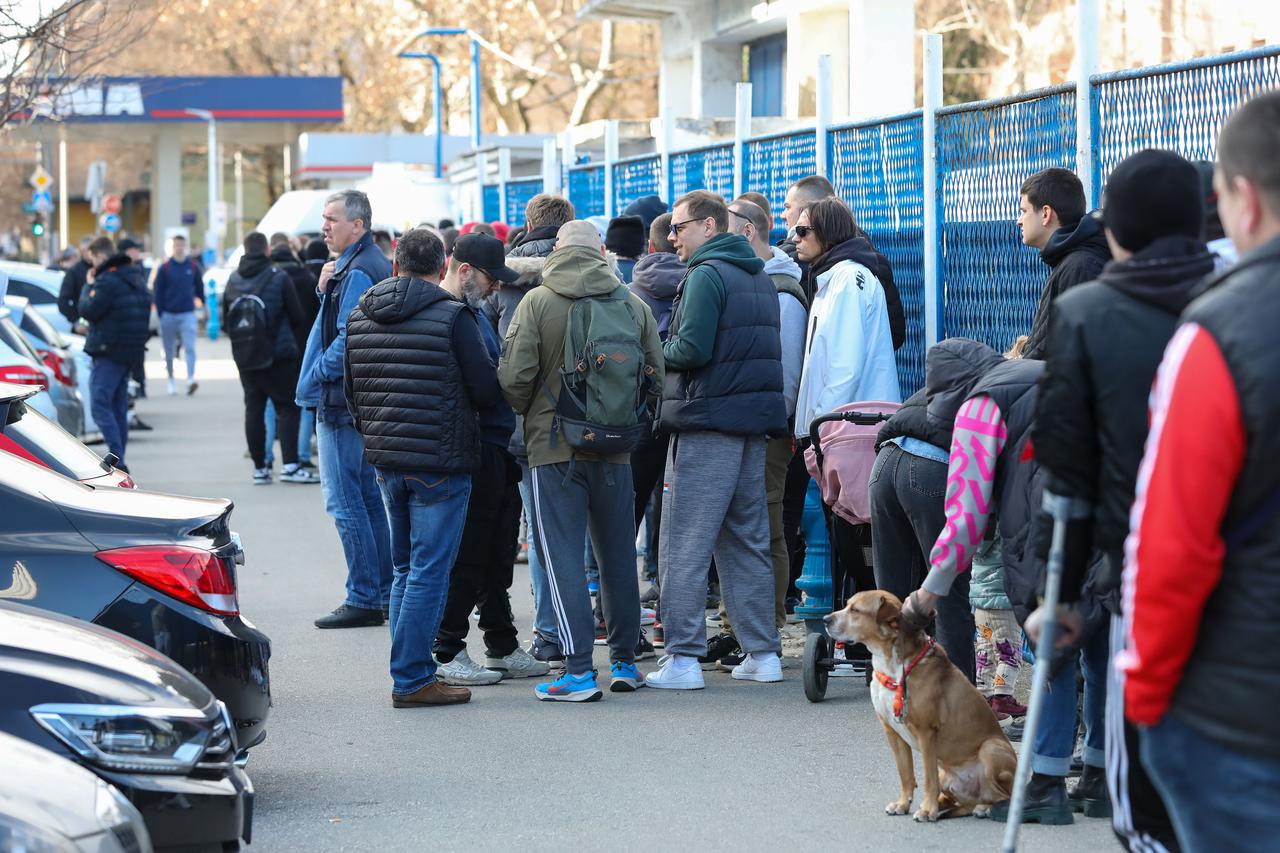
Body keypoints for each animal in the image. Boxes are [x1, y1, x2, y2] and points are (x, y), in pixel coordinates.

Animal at [824, 589, 1013, 819]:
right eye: (847, 604)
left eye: (855, 610)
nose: (825, 619)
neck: (892, 665)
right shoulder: (892, 731)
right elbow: (905, 773)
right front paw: (903, 803)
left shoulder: (926, 732)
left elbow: (928, 778)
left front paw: (927, 809)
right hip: (947, 775)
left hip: (991, 748)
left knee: (1004, 795)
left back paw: (986, 808)